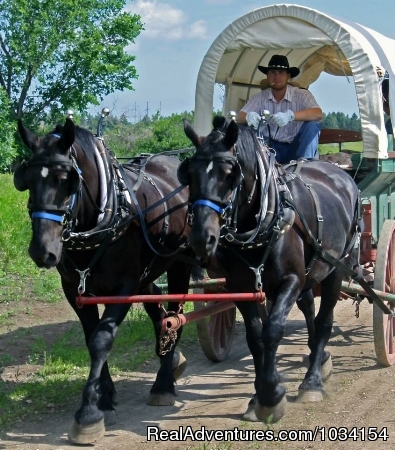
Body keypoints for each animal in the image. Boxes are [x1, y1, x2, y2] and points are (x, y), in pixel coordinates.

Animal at [13, 118, 196, 444]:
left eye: (66, 179)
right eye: (27, 179)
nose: (42, 251)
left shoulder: (123, 289)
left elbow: (101, 340)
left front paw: (88, 413)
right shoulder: (75, 289)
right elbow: (90, 338)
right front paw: (105, 397)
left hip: (177, 266)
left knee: (175, 316)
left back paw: (163, 384)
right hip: (147, 275)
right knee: (160, 316)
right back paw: (169, 361)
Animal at [178, 118, 364, 424]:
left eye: (230, 174)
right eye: (189, 173)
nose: (201, 238)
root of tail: (340, 172)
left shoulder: (290, 280)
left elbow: (273, 330)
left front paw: (271, 395)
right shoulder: (241, 287)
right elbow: (256, 337)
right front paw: (259, 395)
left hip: (337, 267)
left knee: (324, 320)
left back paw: (313, 380)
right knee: (309, 308)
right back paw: (317, 355)